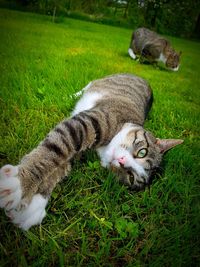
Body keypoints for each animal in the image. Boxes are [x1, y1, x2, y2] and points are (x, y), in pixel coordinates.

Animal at [0, 73, 183, 230]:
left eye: (131, 177)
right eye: (142, 152)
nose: (122, 162)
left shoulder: (80, 151)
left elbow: (62, 164)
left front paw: (34, 206)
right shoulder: (88, 123)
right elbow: (56, 150)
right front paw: (20, 184)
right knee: (87, 86)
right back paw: (70, 96)